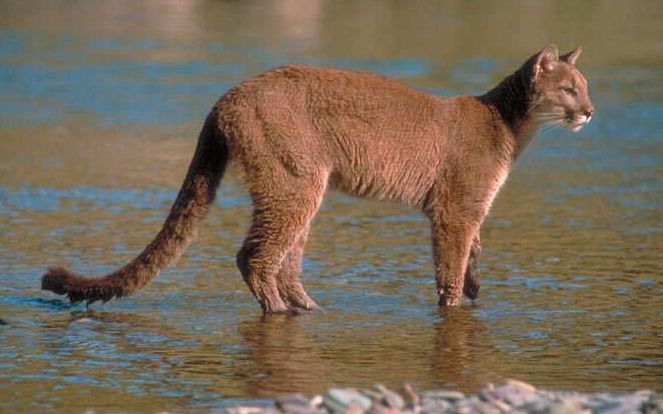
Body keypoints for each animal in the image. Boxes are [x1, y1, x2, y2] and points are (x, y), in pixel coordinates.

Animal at [42, 43, 596, 312]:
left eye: (584, 86)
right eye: (569, 89)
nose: (590, 111)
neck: (512, 125)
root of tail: (229, 93)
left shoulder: (466, 211)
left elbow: (472, 255)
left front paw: (475, 290)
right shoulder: (456, 209)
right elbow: (451, 266)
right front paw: (455, 306)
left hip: (302, 186)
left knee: (285, 259)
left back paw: (309, 307)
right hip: (294, 181)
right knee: (254, 255)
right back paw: (281, 311)